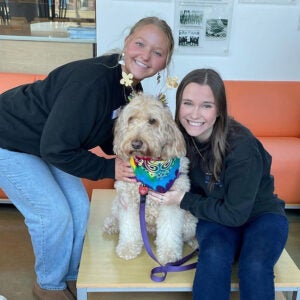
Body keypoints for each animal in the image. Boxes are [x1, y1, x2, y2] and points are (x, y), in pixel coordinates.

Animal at [102, 94, 197, 264]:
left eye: (152, 121)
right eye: (131, 118)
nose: (136, 143)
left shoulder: (170, 205)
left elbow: (169, 231)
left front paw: (169, 254)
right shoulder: (128, 202)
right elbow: (129, 227)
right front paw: (128, 248)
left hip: (189, 222)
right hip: (118, 203)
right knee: (116, 216)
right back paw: (111, 224)